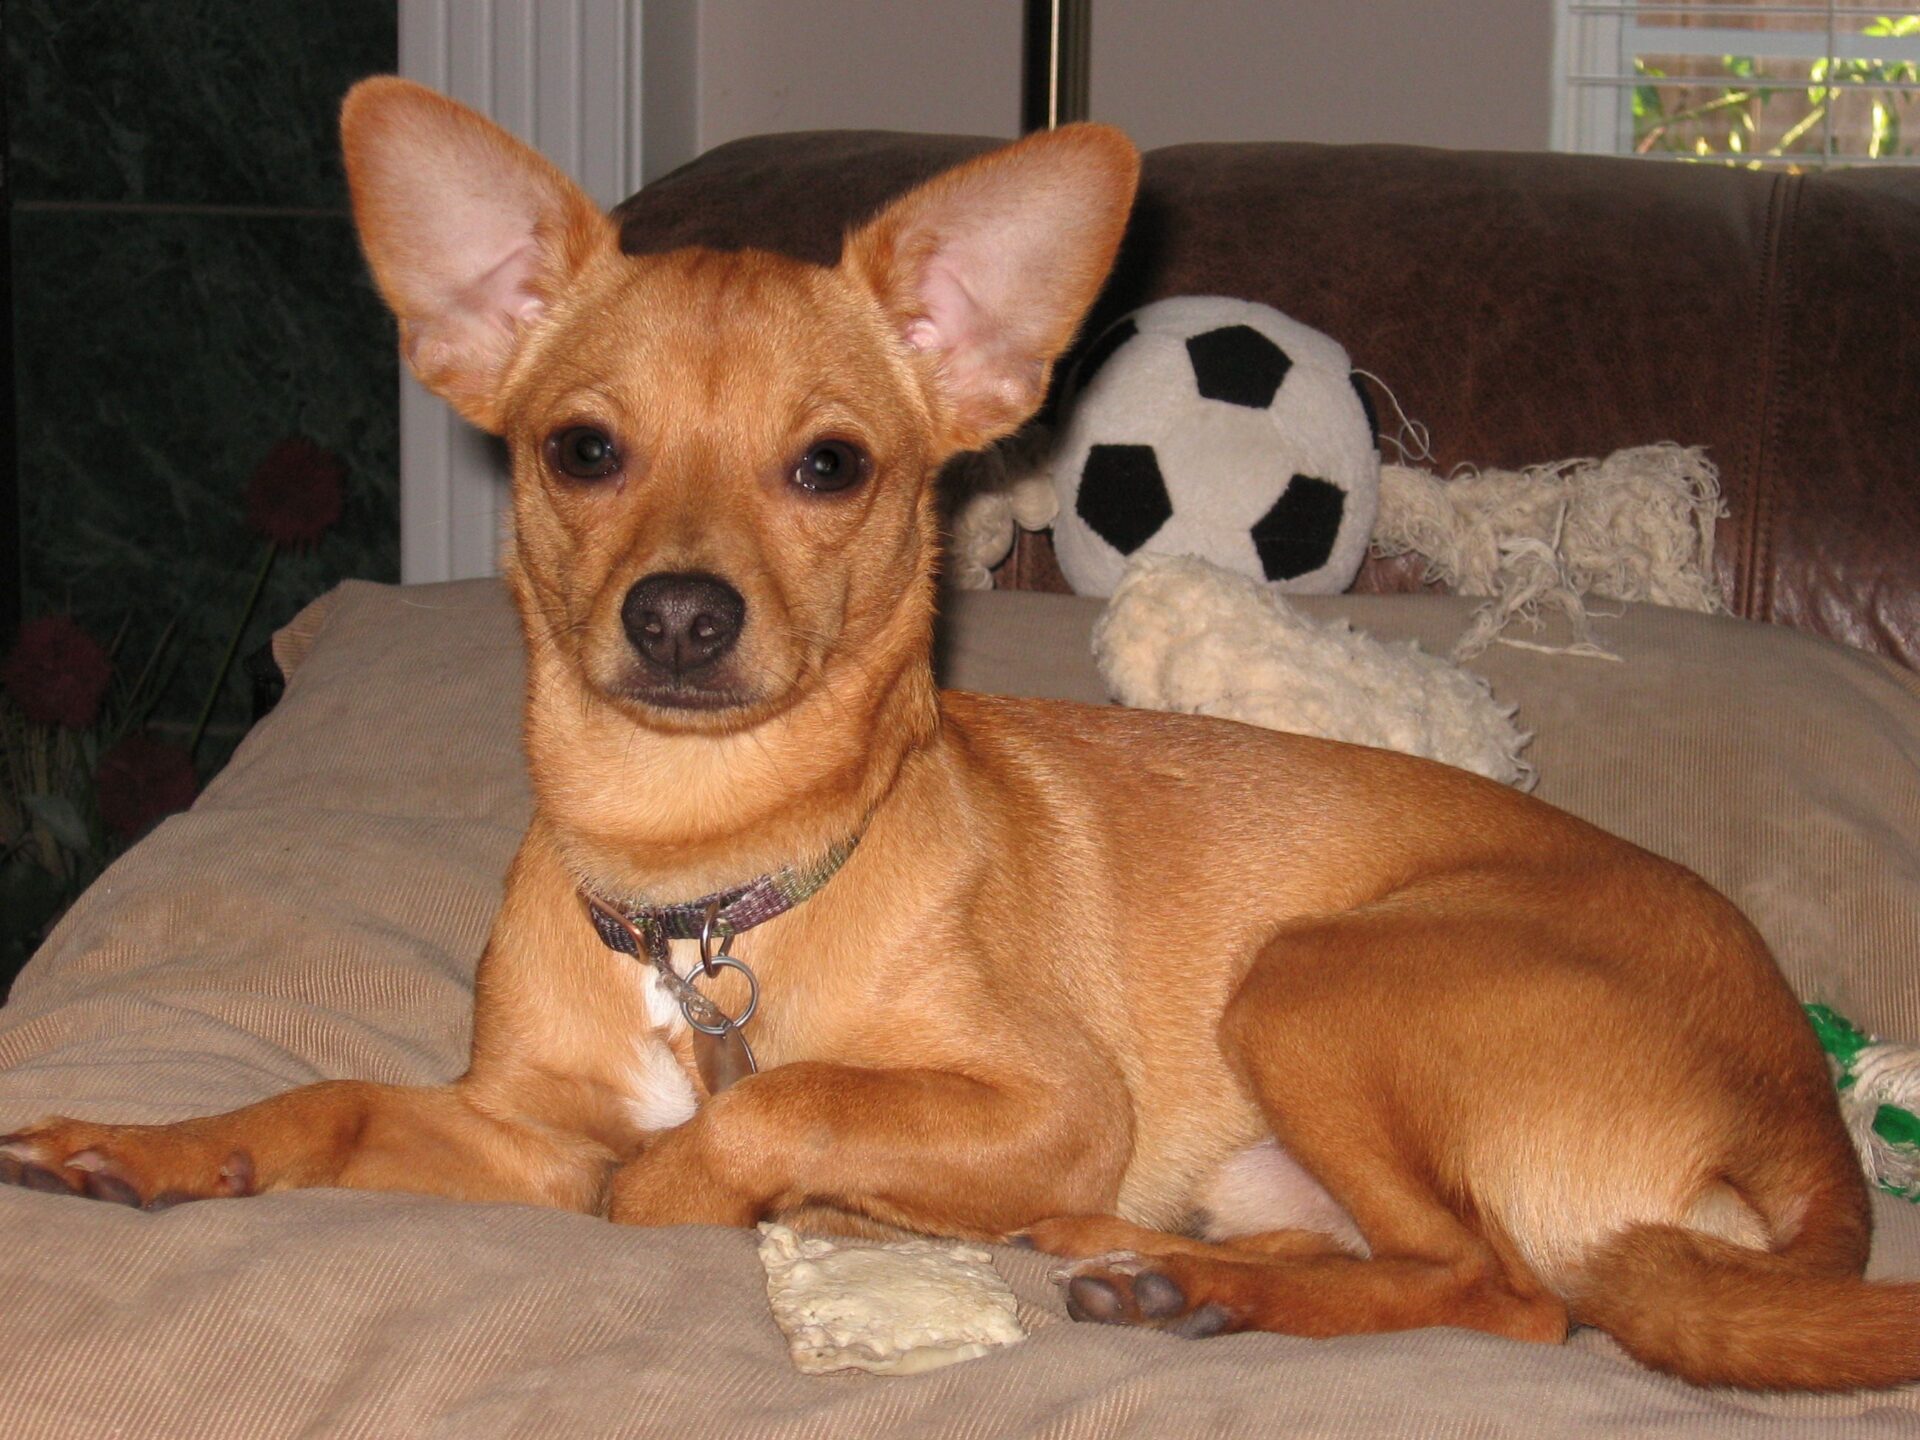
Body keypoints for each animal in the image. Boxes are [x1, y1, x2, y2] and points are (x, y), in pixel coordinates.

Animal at [3, 78, 1920, 1397]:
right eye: (582, 450)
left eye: (832, 465)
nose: (680, 616)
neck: (702, 884)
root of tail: (1809, 1118)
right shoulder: (513, 1130)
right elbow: (331, 1102)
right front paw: (155, 1150)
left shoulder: (1038, 1105)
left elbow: (754, 1124)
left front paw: (755, 1190)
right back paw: (1151, 1260)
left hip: (1315, 977)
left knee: (1511, 1292)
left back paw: (1189, 1282)